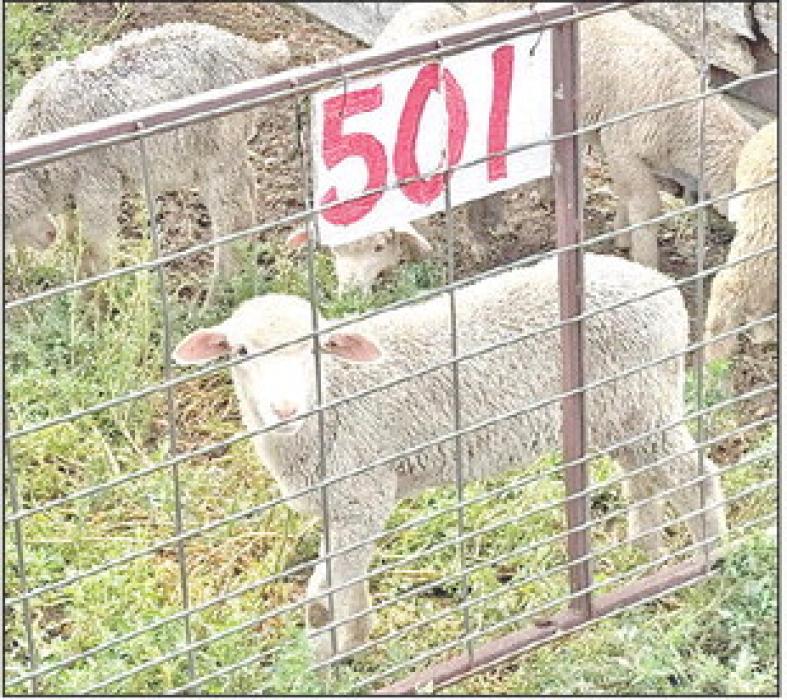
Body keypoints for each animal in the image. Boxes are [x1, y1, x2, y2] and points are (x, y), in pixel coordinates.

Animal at [4, 22, 290, 279]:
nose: (49, 235)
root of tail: (250, 51)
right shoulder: (70, 196)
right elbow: (76, 242)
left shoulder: (97, 184)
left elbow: (95, 251)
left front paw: (98, 299)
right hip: (228, 150)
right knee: (248, 191)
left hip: (219, 150)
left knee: (233, 220)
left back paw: (218, 293)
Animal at [173, 252, 727, 662]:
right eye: (241, 351)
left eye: (316, 350)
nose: (285, 408)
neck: (332, 400)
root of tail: (666, 290)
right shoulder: (344, 503)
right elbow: (347, 588)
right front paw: (354, 641)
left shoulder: (362, 493)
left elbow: (322, 601)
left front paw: (328, 661)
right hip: (620, 412)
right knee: (645, 477)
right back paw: (645, 559)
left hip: (644, 399)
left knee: (695, 477)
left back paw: (709, 562)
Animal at [319, 4, 755, 290]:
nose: (349, 293)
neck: (680, 112)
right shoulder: (623, 145)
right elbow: (646, 208)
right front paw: (646, 263)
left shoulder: (616, 145)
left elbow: (626, 196)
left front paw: (620, 235)